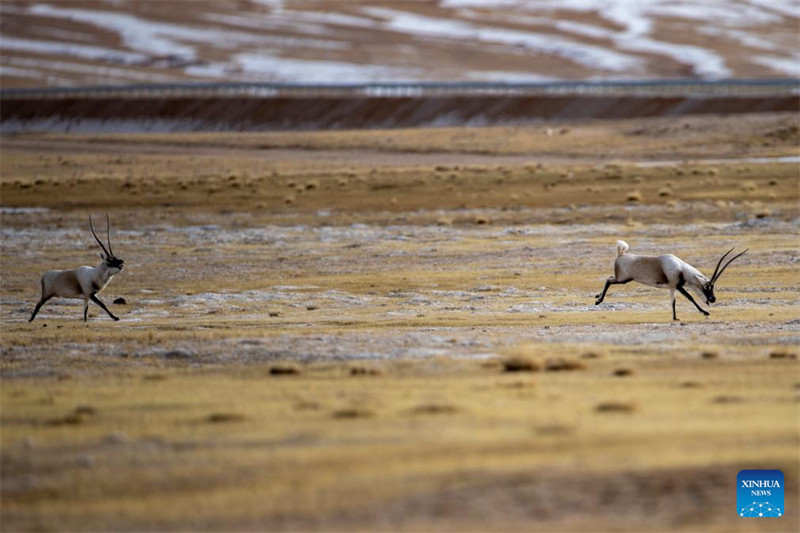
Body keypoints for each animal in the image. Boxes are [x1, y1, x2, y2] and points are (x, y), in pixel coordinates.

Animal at [592, 241, 752, 320]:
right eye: (708, 286)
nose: (713, 299)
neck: (680, 268)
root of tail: (622, 254)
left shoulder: (672, 287)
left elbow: (673, 302)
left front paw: (675, 318)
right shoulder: (678, 286)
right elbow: (690, 298)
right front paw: (705, 312)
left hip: (623, 279)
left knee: (609, 279)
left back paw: (597, 296)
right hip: (624, 279)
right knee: (609, 280)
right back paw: (598, 300)